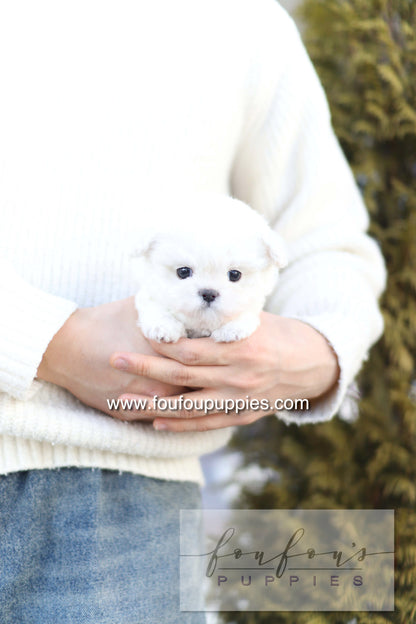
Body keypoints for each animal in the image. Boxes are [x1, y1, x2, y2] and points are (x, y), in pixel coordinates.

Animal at [133, 195, 286, 342]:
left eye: (235, 275)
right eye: (183, 272)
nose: (208, 293)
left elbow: (245, 314)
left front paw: (231, 330)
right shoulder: (150, 294)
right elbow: (156, 308)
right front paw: (163, 327)